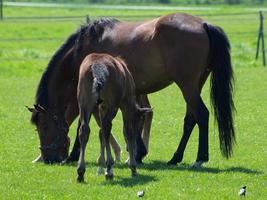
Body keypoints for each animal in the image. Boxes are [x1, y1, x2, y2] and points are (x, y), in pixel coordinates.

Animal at [28, 12, 236, 167]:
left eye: (44, 126)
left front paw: (75, 154)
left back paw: (200, 158)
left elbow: (86, 120)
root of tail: (203, 24)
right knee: (190, 119)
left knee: (202, 114)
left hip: (187, 85)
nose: (48, 158)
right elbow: (132, 117)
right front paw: (136, 153)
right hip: (196, 84)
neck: (85, 48)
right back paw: (175, 157)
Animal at [76, 52, 151, 182]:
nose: (134, 149)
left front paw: (100, 165)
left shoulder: (102, 107)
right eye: (138, 123)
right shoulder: (125, 104)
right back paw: (109, 168)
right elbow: (128, 132)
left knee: (85, 129)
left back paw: (81, 171)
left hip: (84, 102)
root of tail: (96, 68)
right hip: (113, 104)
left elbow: (101, 133)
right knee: (107, 126)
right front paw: (133, 167)